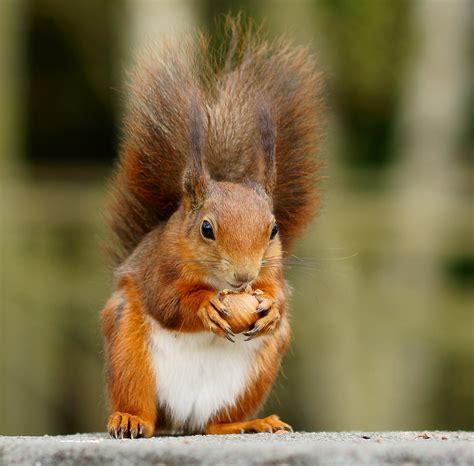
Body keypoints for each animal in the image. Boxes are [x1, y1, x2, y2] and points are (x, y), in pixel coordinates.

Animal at [99, 18, 322, 438]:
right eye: (206, 229)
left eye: (274, 229)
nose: (243, 276)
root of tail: (181, 419)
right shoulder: (159, 267)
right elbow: (167, 302)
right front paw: (204, 306)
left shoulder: (272, 272)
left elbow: (278, 296)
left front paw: (271, 308)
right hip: (128, 349)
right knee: (142, 404)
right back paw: (130, 418)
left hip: (254, 373)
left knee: (215, 425)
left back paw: (250, 424)